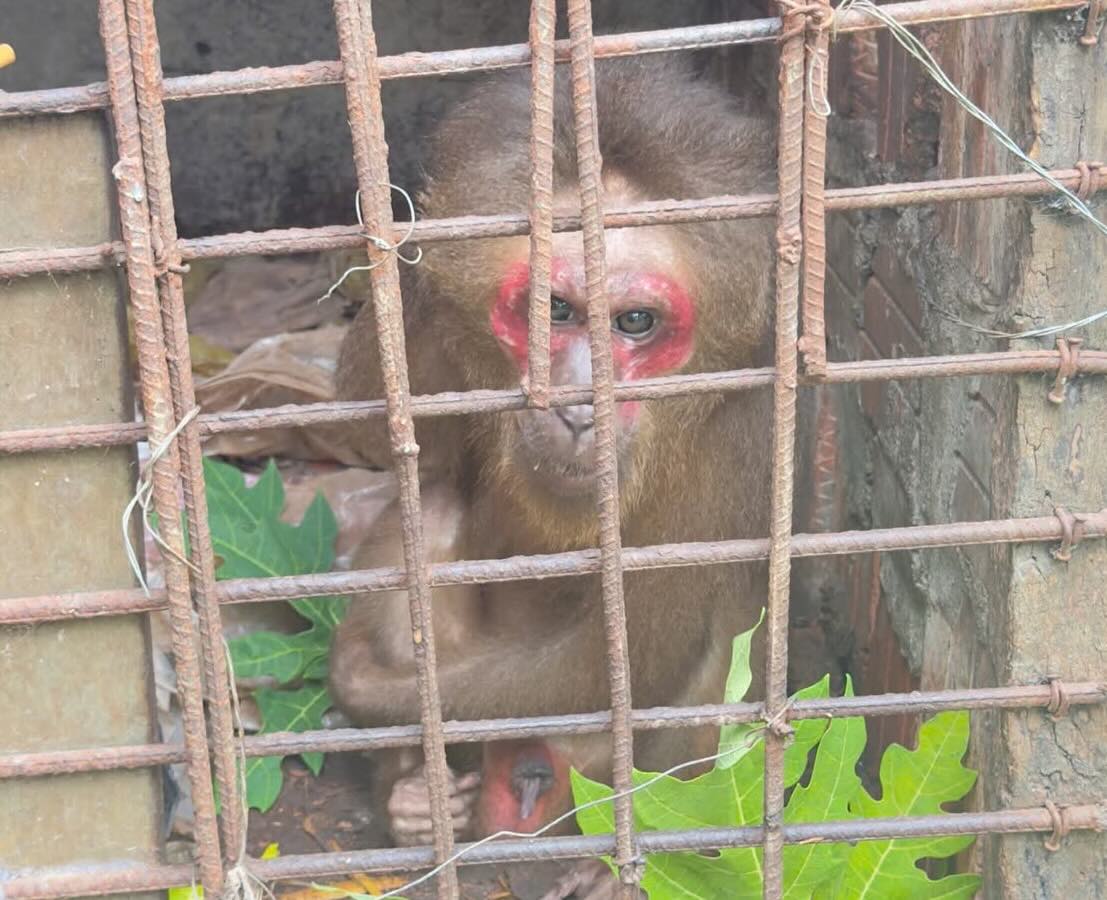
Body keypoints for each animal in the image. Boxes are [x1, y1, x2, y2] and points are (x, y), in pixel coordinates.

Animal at [328, 53, 779, 851]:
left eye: (634, 323)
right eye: (555, 312)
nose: (575, 408)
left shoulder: (735, 440)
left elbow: (622, 660)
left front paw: (361, 685)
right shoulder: (430, 334)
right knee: (434, 517)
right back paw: (415, 801)